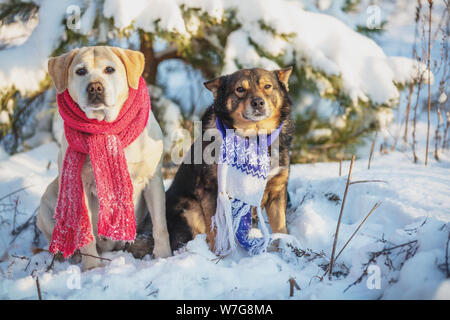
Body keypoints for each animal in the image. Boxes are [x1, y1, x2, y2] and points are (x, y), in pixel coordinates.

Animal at [165, 67, 296, 251]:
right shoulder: (210, 189)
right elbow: (215, 231)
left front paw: (285, 250)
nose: (258, 102)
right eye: (240, 89)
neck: (254, 138)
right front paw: (218, 254)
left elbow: (281, 227)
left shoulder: (277, 189)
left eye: (267, 86)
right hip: (189, 209)